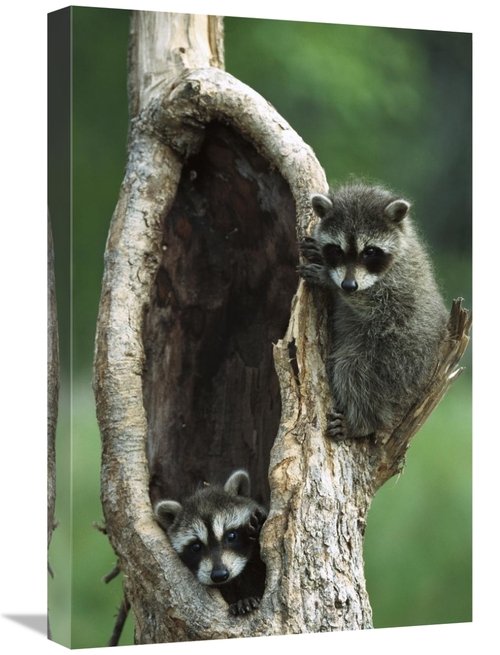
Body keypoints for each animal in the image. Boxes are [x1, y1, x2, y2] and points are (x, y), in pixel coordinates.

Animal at [299, 181, 448, 440]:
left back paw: (362, 423)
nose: (348, 286)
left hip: (393, 357)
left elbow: (377, 305)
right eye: (337, 250)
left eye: (369, 251)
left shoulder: (401, 286)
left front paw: (328, 279)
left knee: (354, 371)